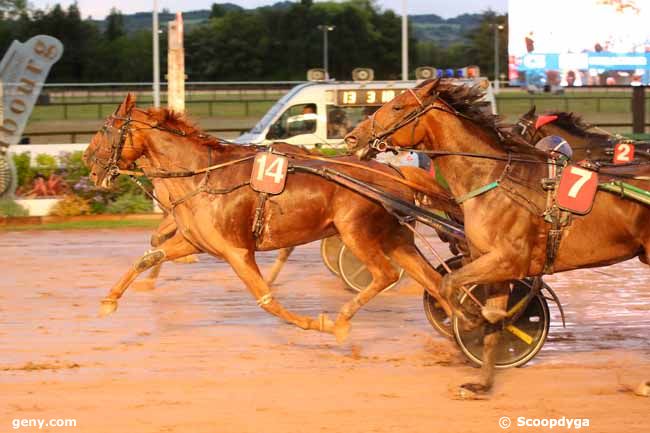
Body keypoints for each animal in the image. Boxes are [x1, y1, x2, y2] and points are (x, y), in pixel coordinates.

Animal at [82, 93, 456, 340]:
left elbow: (267, 300)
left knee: (385, 275)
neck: (204, 175)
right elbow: (148, 256)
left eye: (105, 129)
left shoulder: (236, 251)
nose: (87, 161)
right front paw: (108, 301)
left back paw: (341, 321)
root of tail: (393, 171)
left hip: (356, 232)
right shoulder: (196, 242)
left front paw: (315, 323)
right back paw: (459, 323)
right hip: (395, 237)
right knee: (435, 281)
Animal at [344, 79, 648, 396]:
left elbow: (450, 284)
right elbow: (487, 320)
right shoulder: (496, 266)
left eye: (397, 106)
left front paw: (472, 319)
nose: (352, 138)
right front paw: (482, 382)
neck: (496, 178)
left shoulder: (507, 259)